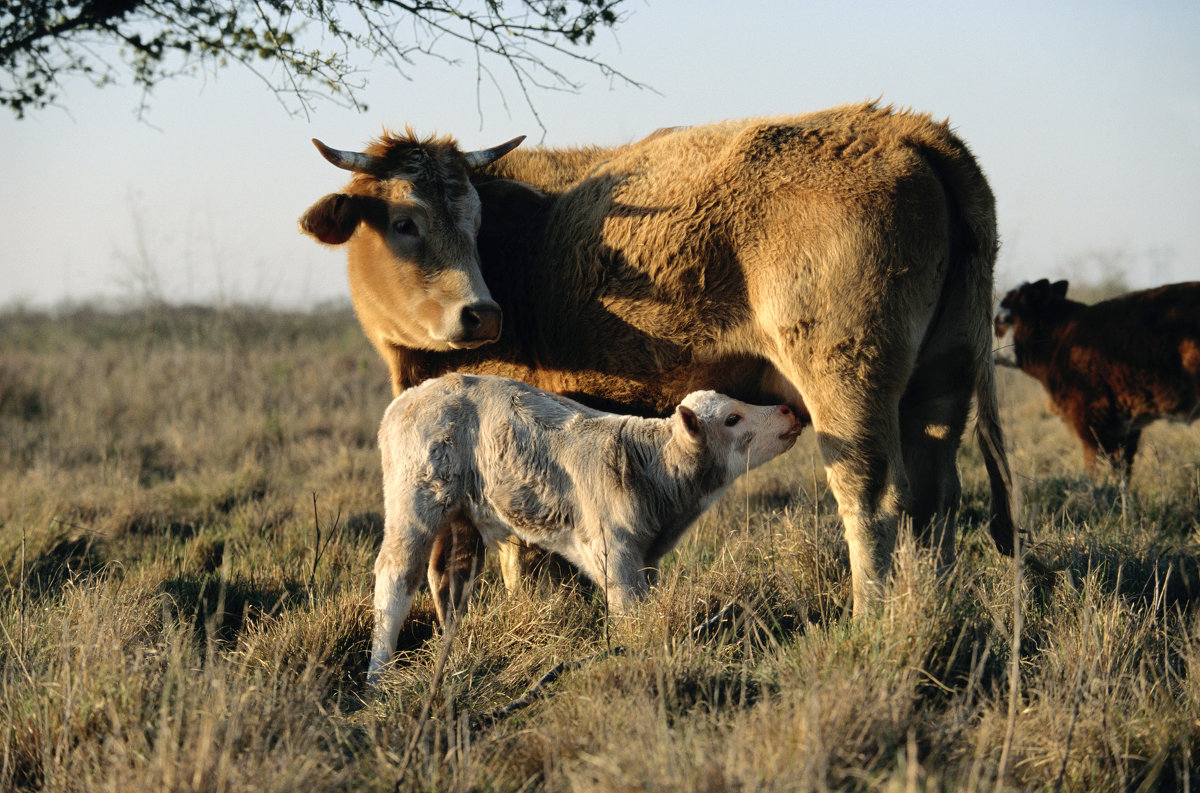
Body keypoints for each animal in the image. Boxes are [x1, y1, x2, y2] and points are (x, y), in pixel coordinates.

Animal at [302, 100, 1022, 619]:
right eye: (404, 222)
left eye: (475, 221)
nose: (482, 313)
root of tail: (909, 130)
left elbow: (513, 546)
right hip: (941, 386)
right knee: (935, 499)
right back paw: (932, 611)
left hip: (848, 390)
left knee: (871, 501)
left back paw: (872, 620)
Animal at [993, 278, 1200, 482]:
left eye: (1001, 320)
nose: (989, 350)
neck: (1059, 339)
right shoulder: (1126, 426)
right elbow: (1122, 471)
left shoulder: (1090, 417)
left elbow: (1094, 469)